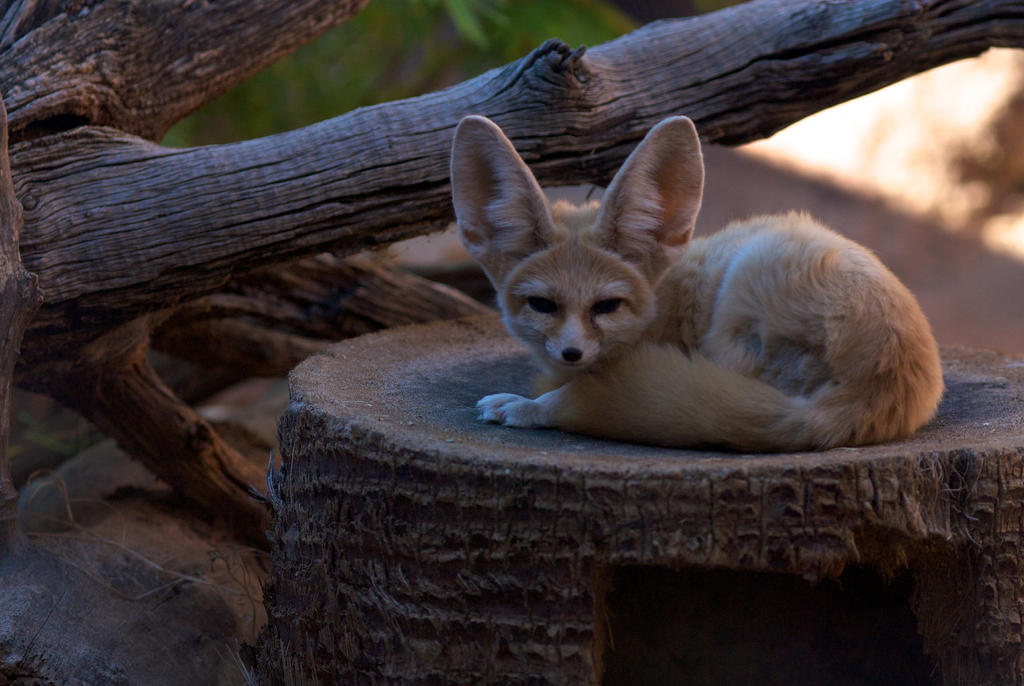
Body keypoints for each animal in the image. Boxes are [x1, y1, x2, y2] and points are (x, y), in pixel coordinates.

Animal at [449, 114, 944, 452]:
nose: (572, 353)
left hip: (743, 286)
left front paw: (524, 405)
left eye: (607, 306)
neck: (663, 296)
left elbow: (567, 396)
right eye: (543, 304)